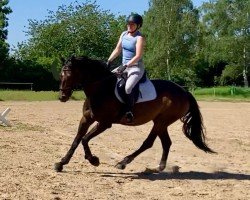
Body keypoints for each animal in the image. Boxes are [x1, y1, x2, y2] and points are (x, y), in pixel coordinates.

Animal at [54, 55, 215, 172]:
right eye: (61, 75)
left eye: (69, 75)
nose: (62, 97)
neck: (100, 89)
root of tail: (184, 91)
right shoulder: (86, 119)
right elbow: (77, 139)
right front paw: (62, 163)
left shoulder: (105, 123)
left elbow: (84, 139)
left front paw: (94, 160)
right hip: (161, 122)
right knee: (166, 143)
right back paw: (159, 167)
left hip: (161, 122)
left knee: (148, 143)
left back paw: (123, 162)